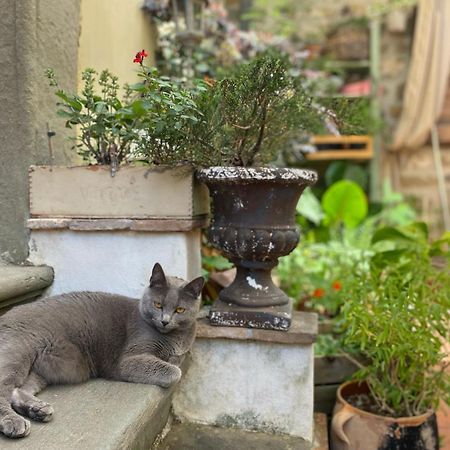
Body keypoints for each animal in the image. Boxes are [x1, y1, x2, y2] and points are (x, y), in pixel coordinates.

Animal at [0, 262, 202, 438]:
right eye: (158, 304)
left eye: (180, 309)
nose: (165, 321)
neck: (174, 337)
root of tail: (5, 316)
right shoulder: (129, 358)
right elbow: (175, 371)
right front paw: (171, 365)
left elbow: (177, 359)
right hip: (18, 352)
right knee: (4, 388)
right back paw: (14, 422)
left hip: (40, 370)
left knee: (16, 391)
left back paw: (38, 410)